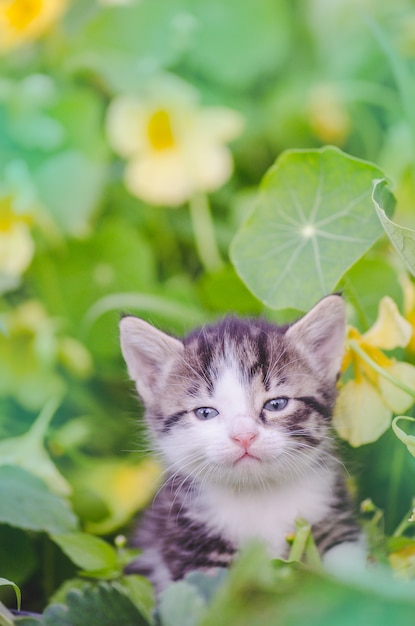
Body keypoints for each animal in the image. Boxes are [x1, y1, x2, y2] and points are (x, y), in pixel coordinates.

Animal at [119, 294, 360, 588]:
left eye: (277, 404)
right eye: (205, 413)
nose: (244, 436)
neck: (258, 494)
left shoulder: (333, 514)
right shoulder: (187, 539)